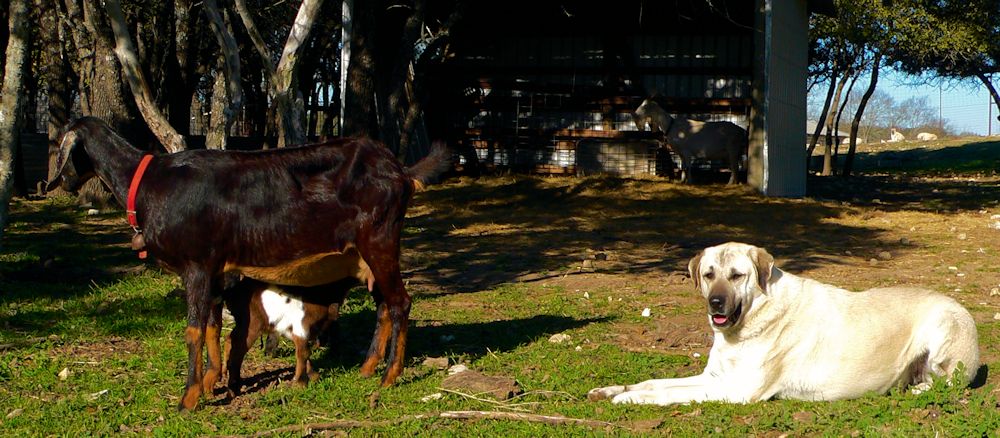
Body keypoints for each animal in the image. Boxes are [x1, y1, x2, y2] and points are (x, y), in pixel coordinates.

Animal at [45, 117, 452, 410]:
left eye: (59, 146)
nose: (59, 183)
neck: (149, 185)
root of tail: (401, 172)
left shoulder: (196, 264)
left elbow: (193, 330)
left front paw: (188, 398)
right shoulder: (215, 269)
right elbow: (212, 326)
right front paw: (213, 382)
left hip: (379, 240)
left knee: (400, 302)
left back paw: (390, 375)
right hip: (363, 255)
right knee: (384, 304)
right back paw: (368, 369)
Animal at [588, 241, 980, 406]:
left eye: (737, 276)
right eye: (708, 274)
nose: (715, 303)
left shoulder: (737, 389)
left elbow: (669, 393)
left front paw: (631, 399)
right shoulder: (713, 377)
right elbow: (655, 381)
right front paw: (613, 390)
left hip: (943, 328)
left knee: (947, 384)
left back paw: (914, 389)